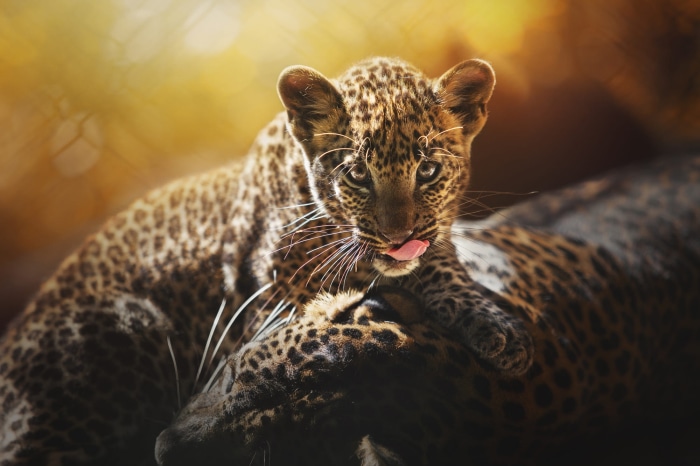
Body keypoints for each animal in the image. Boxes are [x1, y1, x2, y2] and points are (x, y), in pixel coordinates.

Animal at [0, 57, 532, 465]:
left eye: (429, 170)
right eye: (358, 175)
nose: (399, 238)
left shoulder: (432, 243)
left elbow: (445, 268)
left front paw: (499, 331)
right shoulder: (273, 304)